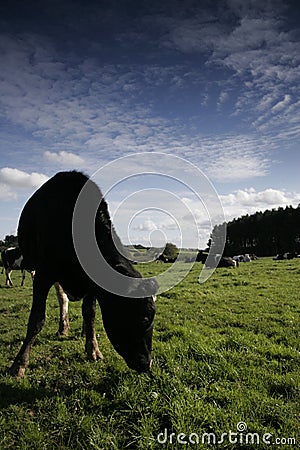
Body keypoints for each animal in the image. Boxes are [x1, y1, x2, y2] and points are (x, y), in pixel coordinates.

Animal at [9, 171, 158, 378]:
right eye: (144, 318)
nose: (147, 364)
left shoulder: (92, 282)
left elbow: (90, 313)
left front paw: (93, 348)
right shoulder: (43, 273)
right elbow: (37, 319)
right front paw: (19, 364)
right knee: (62, 298)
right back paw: (63, 328)